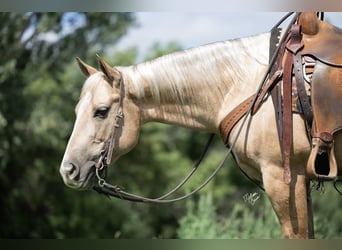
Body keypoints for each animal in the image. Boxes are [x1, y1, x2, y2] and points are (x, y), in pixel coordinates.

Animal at [59, 13, 342, 238]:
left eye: (101, 111)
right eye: (76, 111)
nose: (67, 170)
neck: (251, 84)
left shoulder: (284, 180)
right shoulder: (300, 184)